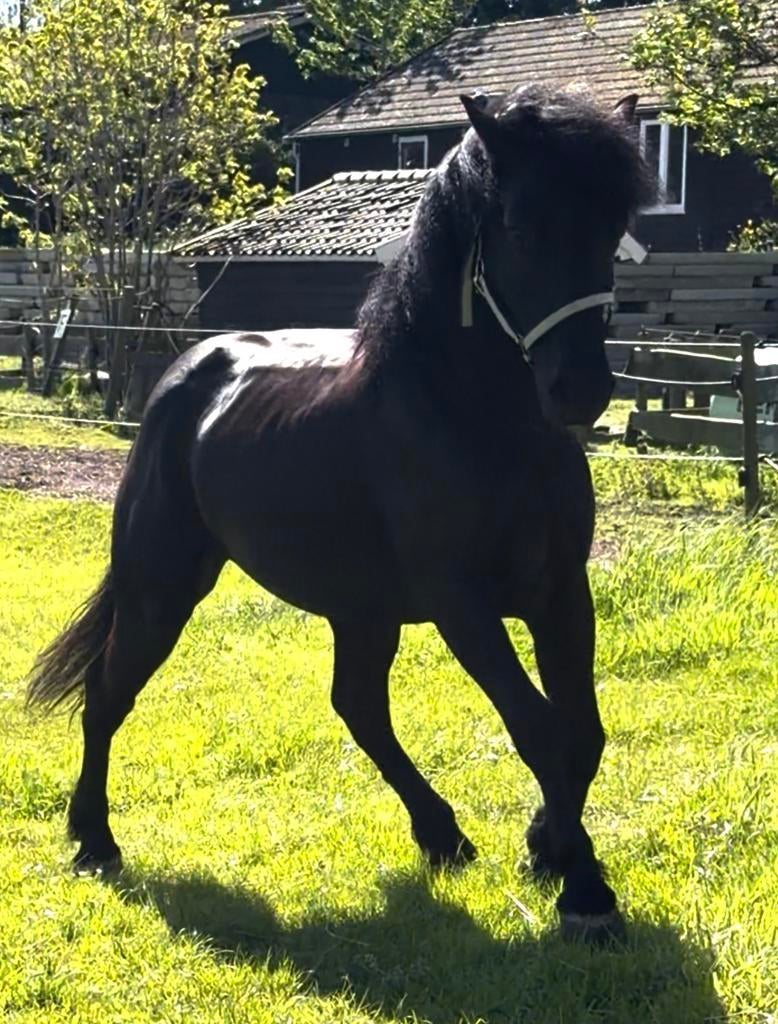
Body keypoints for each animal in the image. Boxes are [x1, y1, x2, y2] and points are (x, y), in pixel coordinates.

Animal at [28, 84, 653, 943]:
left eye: (614, 228)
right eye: (523, 226)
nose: (580, 391)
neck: (472, 419)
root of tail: (188, 370)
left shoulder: (560, 593)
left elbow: (581, 733)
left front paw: (548, 849)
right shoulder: (464, 606)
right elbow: (541, 730)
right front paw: (585, 894)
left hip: (362, 610)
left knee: (358, 707)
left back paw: (442, 834)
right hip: (162, 587)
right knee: (108, 692)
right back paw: (94, 840)